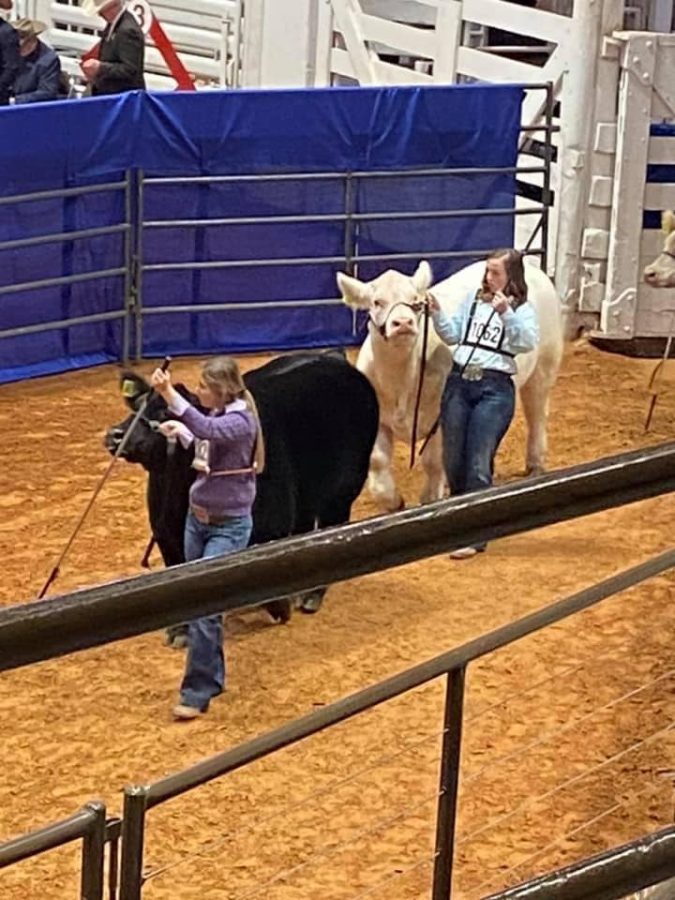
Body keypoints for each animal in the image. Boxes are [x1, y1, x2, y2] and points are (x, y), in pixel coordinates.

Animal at [338, 260, 564, 512]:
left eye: (415, 300)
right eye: (377, 302)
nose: (403, 323)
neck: (401, 382)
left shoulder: (439, 418)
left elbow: (433, 461)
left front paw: (431, 498)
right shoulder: (378, 420)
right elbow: (377, 462)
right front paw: (394, 502)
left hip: (544, 365)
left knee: (537, 414)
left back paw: (535, 464)